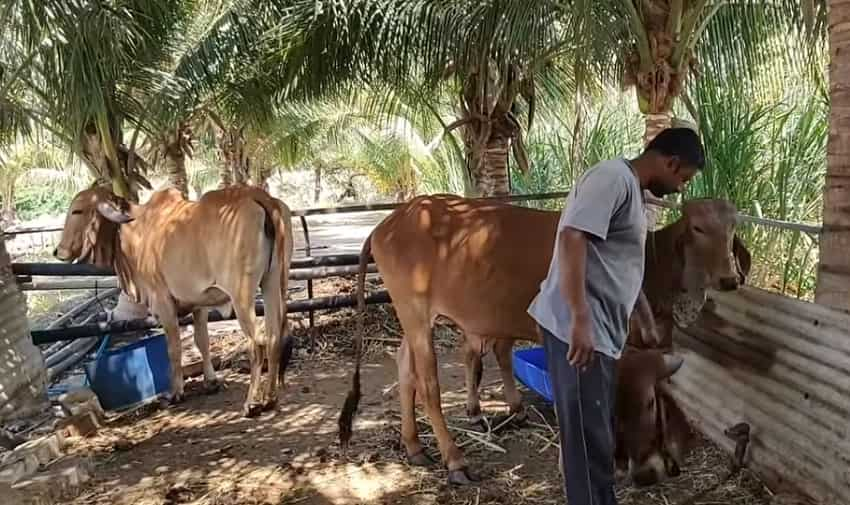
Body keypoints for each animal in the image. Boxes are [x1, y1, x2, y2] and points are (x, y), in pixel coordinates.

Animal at [53, 183, 292, 416]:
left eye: (77, 210)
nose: (58, 251)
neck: (137, 230)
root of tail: (260, 196)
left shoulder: (162, 300)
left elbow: (174, 348)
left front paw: (176, 392)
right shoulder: (199, 302)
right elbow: (202, 341)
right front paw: (211, 382)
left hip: (242, 295)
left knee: (256, 345)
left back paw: (251, 403)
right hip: (272, 283)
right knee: (273, 338)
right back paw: (270, 398)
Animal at [338, 192, 748, 484]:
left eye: (732, 229)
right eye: (697, 228)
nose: (730, 279)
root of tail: (389, 222)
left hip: (413, 318)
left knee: (405, 369)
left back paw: (413, 445)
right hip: (417, 313)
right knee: (428, 385)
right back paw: (455, 461)